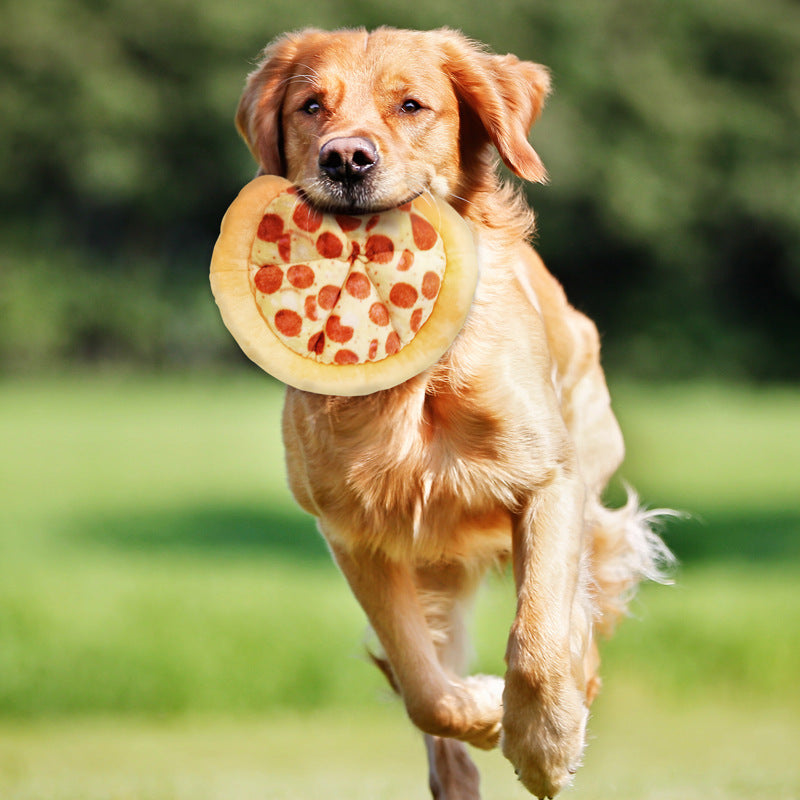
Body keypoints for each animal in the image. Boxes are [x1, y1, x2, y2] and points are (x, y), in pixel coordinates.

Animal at [234, 26, 672, 800]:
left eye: (411, 105)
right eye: (311, 106)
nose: (345, 158)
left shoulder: (549, 484)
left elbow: (538, 640)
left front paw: (544, 744)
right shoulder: (355, 534)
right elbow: (422, 685)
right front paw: (484, 711)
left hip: (586, 470)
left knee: (576, 614)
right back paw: (461, 762)